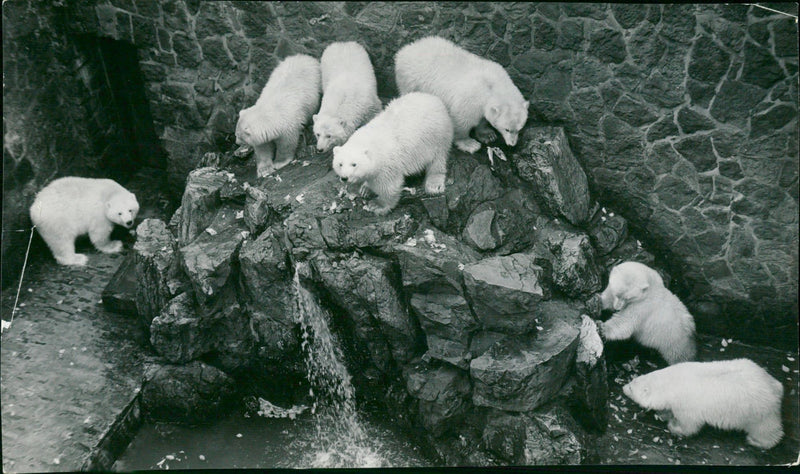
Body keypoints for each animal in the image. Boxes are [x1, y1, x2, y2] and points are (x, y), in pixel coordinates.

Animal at [392, 35, 528, 154]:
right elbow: (462, 118)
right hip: (412, 79)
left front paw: (488, 135)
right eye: (507, 129)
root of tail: (405, 50)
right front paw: (469, 143)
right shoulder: (472, 97)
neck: (493, 85)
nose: (512, 144)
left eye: (519, 129)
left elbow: (483, 118)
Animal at [620, 360, 784, 448]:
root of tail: (775, 386)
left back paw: (757, 441)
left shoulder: (687, 405)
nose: (623, 388)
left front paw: (674, 427)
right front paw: (662, 415)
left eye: (631, 388)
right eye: (632, 381)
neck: (673, 381)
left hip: (758, 409)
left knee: (765, 429)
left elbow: (690, 424)